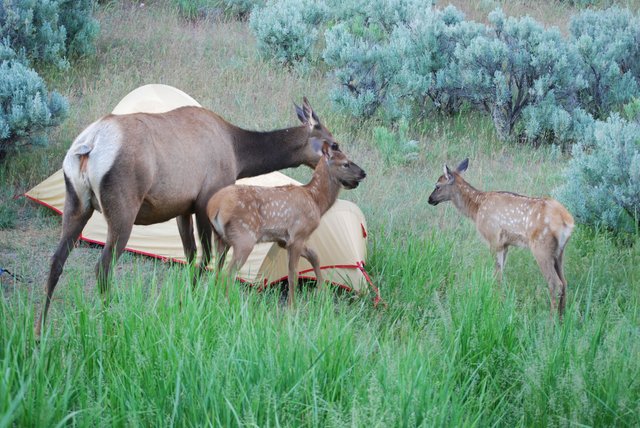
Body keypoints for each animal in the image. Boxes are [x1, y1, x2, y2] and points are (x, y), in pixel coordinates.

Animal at [37, 97, 340, 338]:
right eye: (333, 143)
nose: (344, 159)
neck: (239, 155)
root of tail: (89, 145)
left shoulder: (183, 208)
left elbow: (191, 256)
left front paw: (186, 303)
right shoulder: (206, 199)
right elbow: (211, 259)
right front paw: (201, 303)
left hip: (76, 204)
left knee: (56, 261)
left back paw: (40, 331)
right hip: (122, 209)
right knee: (103, 267)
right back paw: (109, 321)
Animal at [205, 140, 364, 304]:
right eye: (345, 163)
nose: (363, 173)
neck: (316, 202)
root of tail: (215, 207)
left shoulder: (284, 240)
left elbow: (314, 256)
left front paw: (322, 292)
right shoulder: (298, 234)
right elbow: (293, 274)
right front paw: (292, 306)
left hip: (220, 237)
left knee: (217, 269)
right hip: (244, 236)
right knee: (229, 273)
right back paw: (227, 301)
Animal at [430, 158, 576, 318]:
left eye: (437, 186)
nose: (430, 199)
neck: (477, 208)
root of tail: (566, 220)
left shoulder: (494, 239)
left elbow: (497, 274)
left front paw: (495, 301)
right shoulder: (505, 244)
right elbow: (501, 273)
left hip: (541, 247)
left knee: (555, 284)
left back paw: (551, 320)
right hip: (559, 252)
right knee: (565, 282)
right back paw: (562, 317)